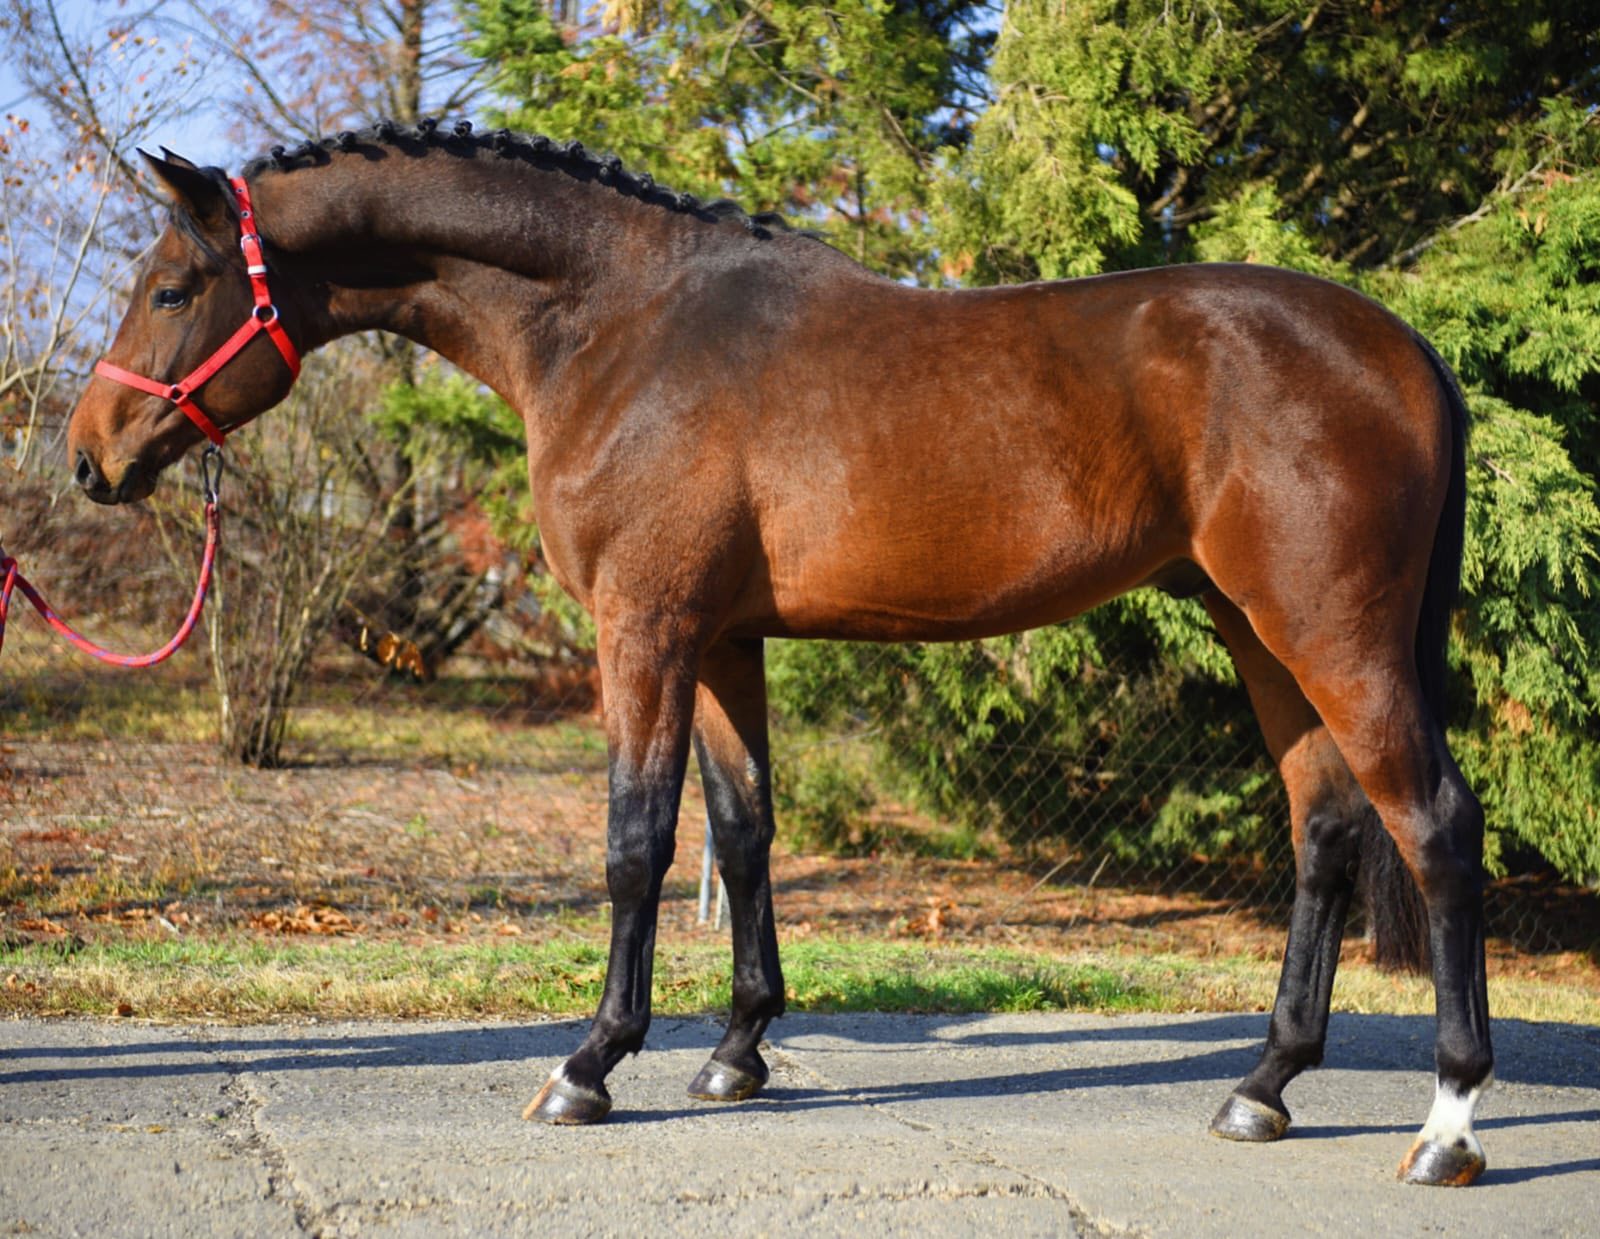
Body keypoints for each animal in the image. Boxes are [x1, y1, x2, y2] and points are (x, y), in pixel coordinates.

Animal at [67, 123, 1491, 1187]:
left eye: (172, 288)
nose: (89, 459)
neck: (621, 328)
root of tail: (1408, 350)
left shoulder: (643, 628)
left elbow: (637, 840)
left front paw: (591, 1065)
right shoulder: (723, 641)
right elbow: (744, 831)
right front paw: (736, 1053)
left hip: (1331, 634)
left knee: (1432, 821)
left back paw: (1447, 1124)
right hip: (1258, 632)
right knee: (1325, 830)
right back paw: (1264, 1086)